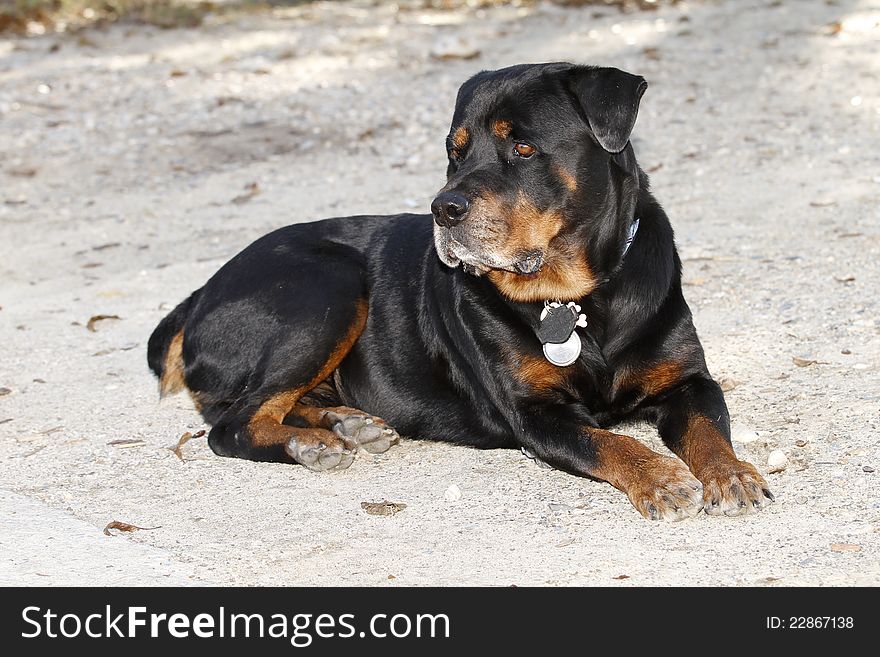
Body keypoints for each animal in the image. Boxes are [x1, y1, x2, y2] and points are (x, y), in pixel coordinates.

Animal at [148, 64, 772, 520]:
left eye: (523, 148)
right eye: (456, 150)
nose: (442, 209)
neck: (581, 299)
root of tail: (198, 295)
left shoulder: (689, 380)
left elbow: (709, 429)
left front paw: (733, 474)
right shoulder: (535, 414)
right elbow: (611, 444)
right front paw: (660, 478)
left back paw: (346, 424)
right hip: (327, 289)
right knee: (230, 423)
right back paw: (312, 444)